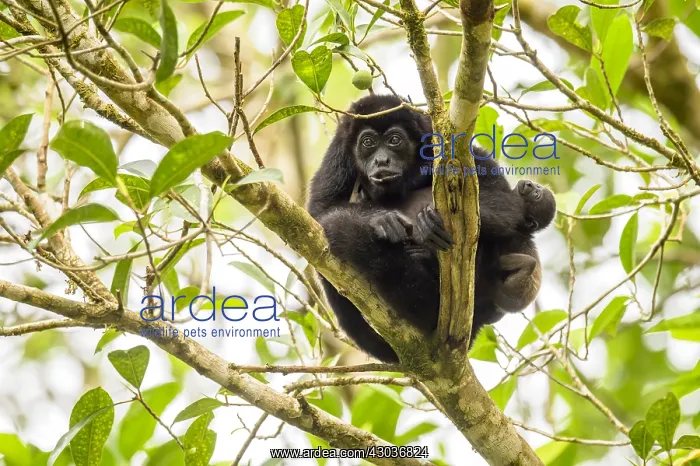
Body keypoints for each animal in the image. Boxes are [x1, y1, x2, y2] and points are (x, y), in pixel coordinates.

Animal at [307, 94, 556, 362]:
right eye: (368, 142)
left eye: (395, 140)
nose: (381, 160)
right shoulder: (339, 153)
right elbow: (320, 212)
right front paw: (382, 220)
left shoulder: (445, 141)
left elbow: (504, 200)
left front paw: (426, 227)